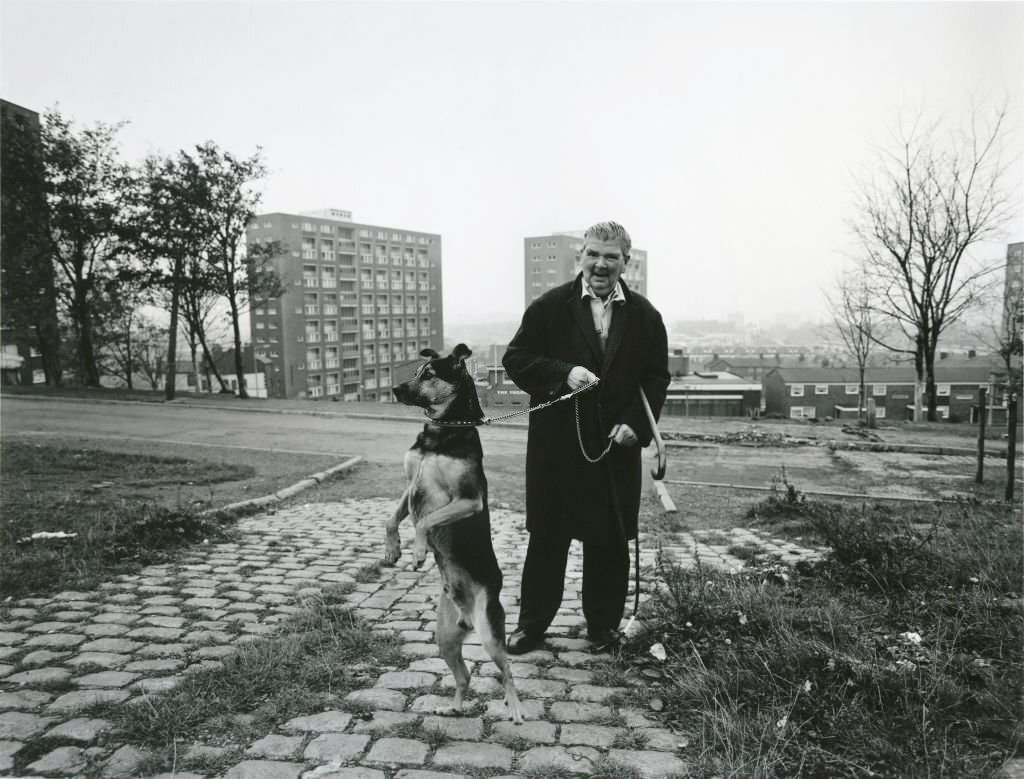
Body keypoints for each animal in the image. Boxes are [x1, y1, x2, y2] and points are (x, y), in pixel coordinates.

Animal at [385, 343, 524, 724]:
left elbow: (424, 521)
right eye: (416, 371)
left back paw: (515, 708)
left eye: (430, 375)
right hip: (445, 637)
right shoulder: (409, 485)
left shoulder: (467, 499)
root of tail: (466, 615)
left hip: (489, 631)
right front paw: (393, 550)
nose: (395, 389)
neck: (441, 430)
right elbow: (393, 518)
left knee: (507, 671)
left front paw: (418, 551)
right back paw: (455, 707)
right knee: (464, 676)